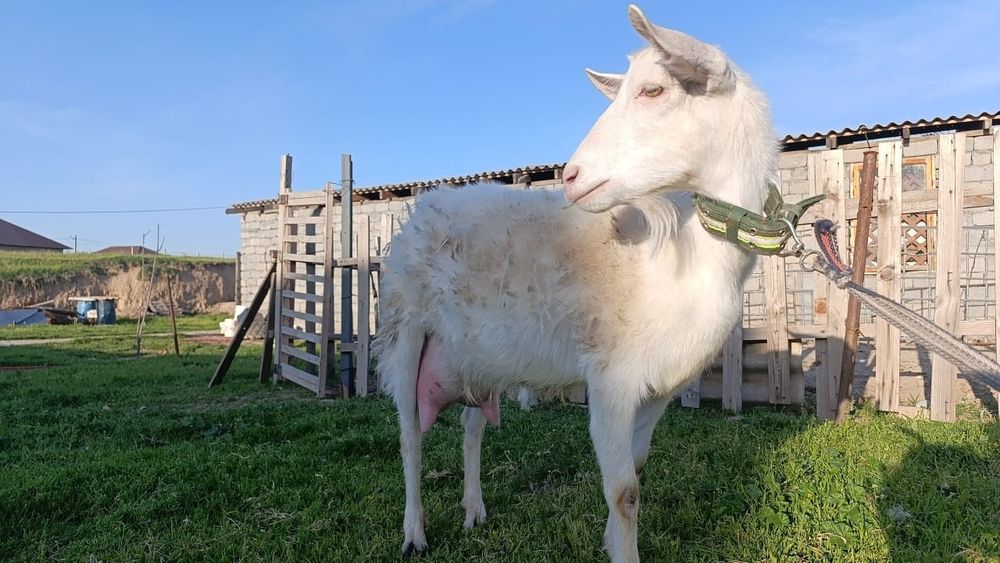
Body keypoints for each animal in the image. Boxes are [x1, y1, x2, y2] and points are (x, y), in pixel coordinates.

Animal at [374, 5, 775, 561]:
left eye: (654, 90)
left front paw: (610, 539)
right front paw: (621, 548)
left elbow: (637, 473)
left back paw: (474, 510)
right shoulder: (610, 379)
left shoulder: (656, 390)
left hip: (475, 357)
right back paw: (415, 532)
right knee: (409, 437)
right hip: (404, 332)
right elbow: (625, 491)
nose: (570, 175)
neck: (686, 262)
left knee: (471, 426)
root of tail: (426, 205)